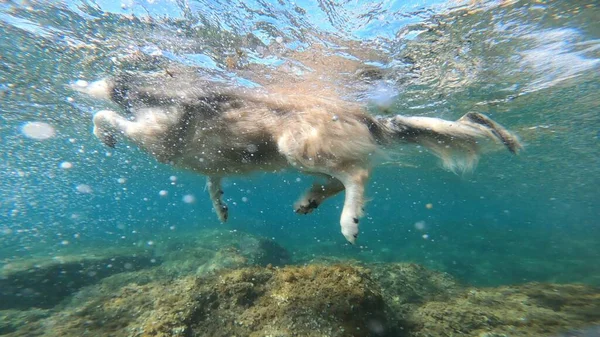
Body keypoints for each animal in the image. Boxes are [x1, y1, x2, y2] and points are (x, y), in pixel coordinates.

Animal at [72, 67, 524, 242]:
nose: (77, 82)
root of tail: (367, 116)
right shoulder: (212, 161)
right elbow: (212, 182)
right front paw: (220, 207)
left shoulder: (153, 133)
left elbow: (105, 115)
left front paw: (101, 130)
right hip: (299, 155)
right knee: (340, 177)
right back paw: (309, 201)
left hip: (298, 147)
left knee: (357, 175)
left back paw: (348, 222)